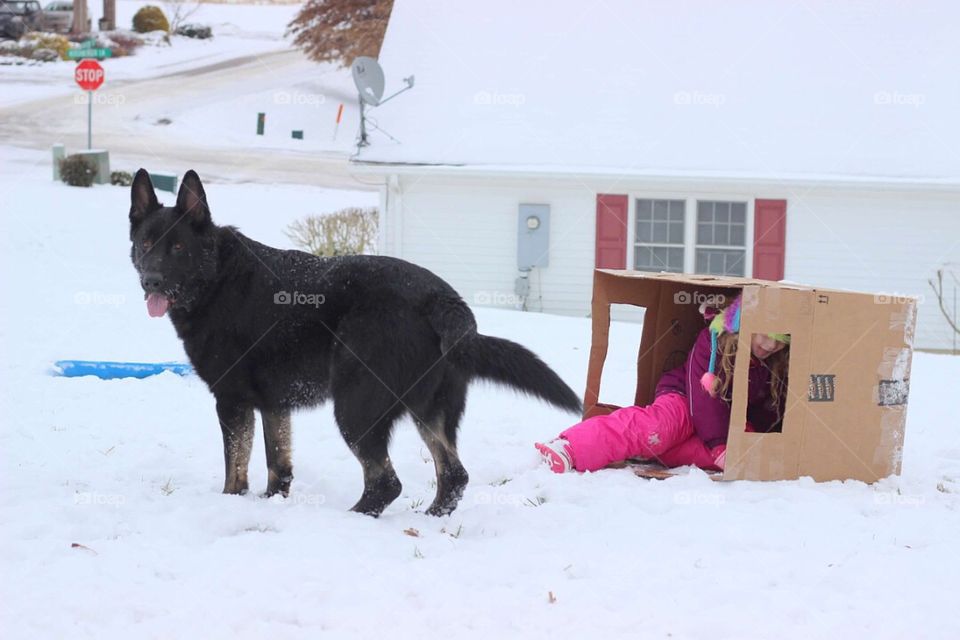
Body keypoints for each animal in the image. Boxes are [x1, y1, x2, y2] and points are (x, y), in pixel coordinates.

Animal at [126, 169, 576, 516]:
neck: (216, 277)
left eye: (178, 248)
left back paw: (353, 519)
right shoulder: (274, 405)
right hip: (426, 410)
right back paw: (433, 518)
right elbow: (278, 468)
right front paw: (273, 504)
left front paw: (231, 504)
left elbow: (235, 472)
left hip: (356, 407)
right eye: (146, 244)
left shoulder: (232, 402)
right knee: (453, 474)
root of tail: (442, 299)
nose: (151, 281)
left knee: (387, 483)